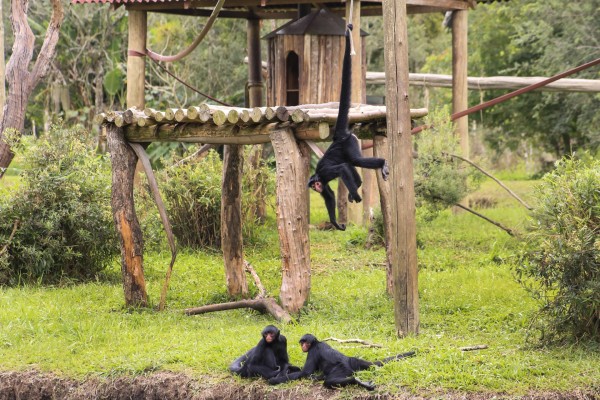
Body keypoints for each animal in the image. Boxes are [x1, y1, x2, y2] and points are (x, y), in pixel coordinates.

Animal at [270, 334, 414, 390]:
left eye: (306, 343)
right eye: (302, 342)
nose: (303, 346)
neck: (316, 343)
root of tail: (349, 359)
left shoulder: (313, 351)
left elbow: (306, 373)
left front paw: (274, 380)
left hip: (342, 368)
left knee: (329, 381)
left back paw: (356, 381)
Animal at [310, 24, 390, 231]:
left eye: (314, 185)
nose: (316, 187)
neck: (317, 176)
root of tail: (338, 137)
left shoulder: (324, 173)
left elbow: (342, 169)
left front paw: (356, 195)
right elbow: (329, 195)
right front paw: (335, 223)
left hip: (349, 142)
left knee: (353, 160)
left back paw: (380, 164)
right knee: (352, 163)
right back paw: (360, 182)